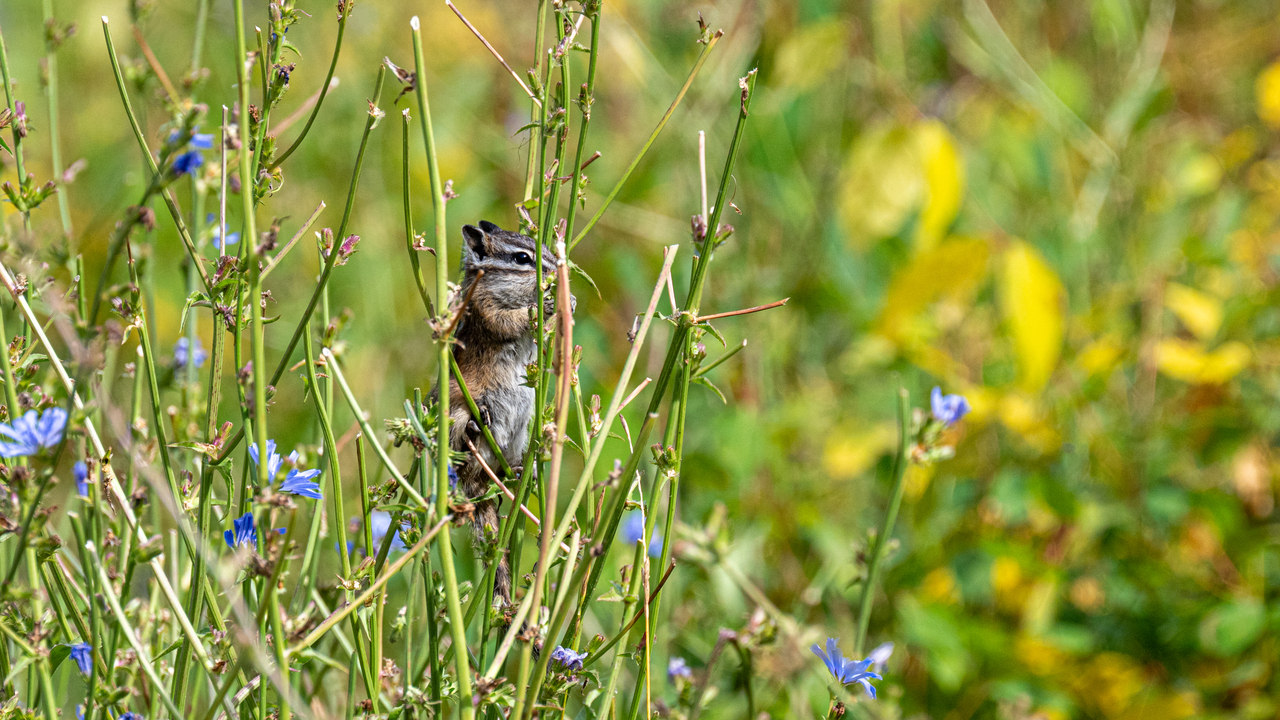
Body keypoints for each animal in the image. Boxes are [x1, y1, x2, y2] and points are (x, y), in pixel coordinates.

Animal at [444, 219, 571, 611]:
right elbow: (509, 322)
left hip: (521, 432)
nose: (556, 272)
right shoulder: (486, 309)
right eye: (522, 259)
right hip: (459, 418)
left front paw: (568, 303)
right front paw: (548, 304)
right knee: (466, 447)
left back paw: (519, 470)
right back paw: (475, 427)